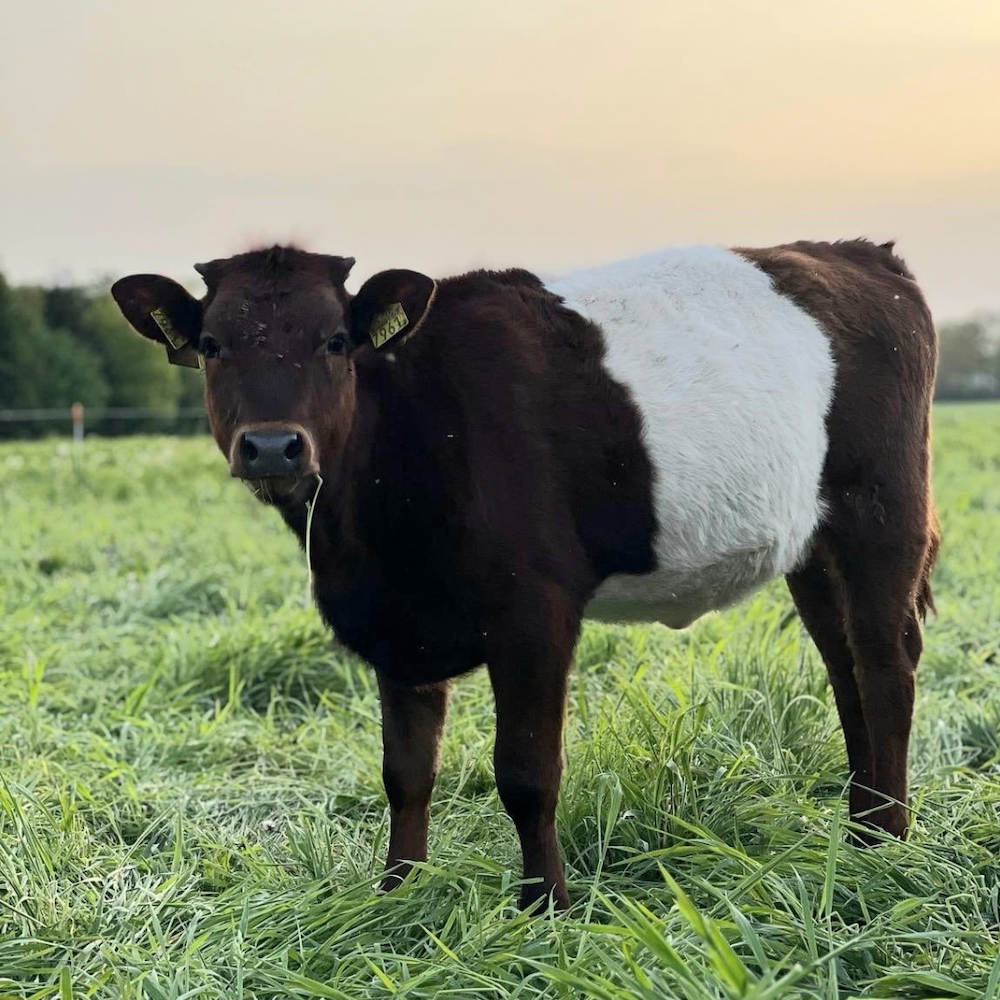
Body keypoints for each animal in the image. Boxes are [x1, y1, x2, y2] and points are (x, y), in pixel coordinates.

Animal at [113, 238, 940, 912]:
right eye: (213, 344)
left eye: (336, 341)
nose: (272, 446)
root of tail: (860, 254)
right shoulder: (396, 624)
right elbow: (405, 772)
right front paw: (395, 896)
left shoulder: (534, 614)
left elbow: (526, 773)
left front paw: (546, 909)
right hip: (813, 545)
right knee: (845, 668)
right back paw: (861, 830)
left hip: (882, 513)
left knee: (886, 668)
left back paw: (890, 846)